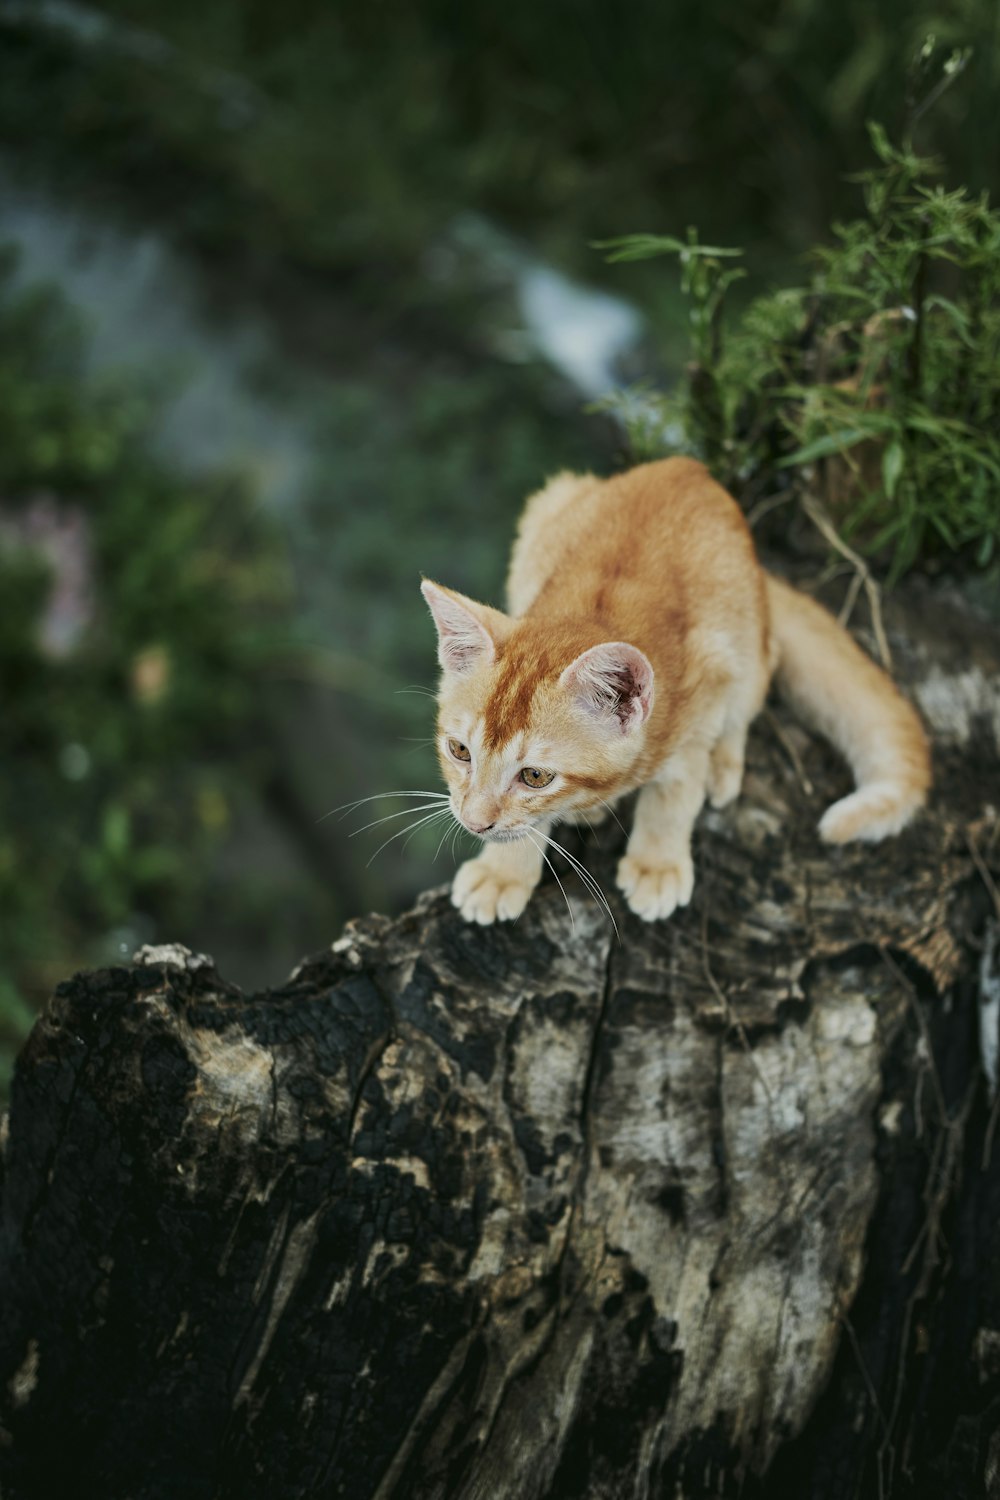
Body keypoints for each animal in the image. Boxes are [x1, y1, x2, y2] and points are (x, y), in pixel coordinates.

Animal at [422, 456, 929, 924]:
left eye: (534, 776)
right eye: (459, 751)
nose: (474, 822)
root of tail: (687, 466)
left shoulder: (708, 681)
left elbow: (675, 792)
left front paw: (657, 864)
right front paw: (503, 871)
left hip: (745, 638)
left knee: (756, 685)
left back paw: (722, 765)